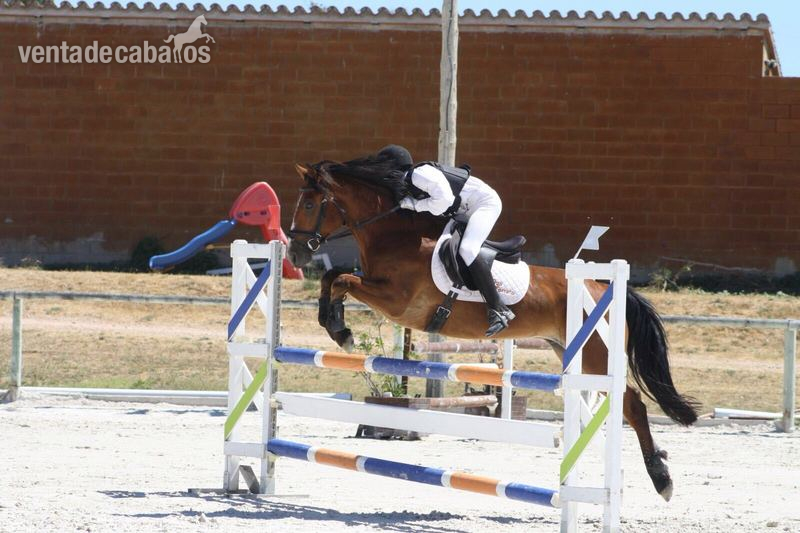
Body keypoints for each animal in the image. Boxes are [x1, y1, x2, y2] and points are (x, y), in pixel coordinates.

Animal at [285, 154, 698, 502]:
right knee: (622, 403)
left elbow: (342, 280)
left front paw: (341, 330)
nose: (294, 254)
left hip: (598, 357)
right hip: (572, 351)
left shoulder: (398, 303)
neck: (395, 234)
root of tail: (602, 287)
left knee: (633, 403)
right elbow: (334, 277)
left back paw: (661, 479)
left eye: (309, 205)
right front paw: (333, 324)